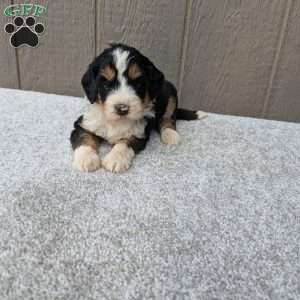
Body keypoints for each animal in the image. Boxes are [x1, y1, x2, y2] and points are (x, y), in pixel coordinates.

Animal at [70, 43, 206, 172]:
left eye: (137, 84)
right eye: (106, 85)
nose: (122, 108)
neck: (116, 122)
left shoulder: (139, 133)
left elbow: (124, 143)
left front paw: (115, 159)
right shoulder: (85, 124)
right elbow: (84, 137)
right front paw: (86, 159)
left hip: (171, 93)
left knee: (168, 118)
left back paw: (171, 135)